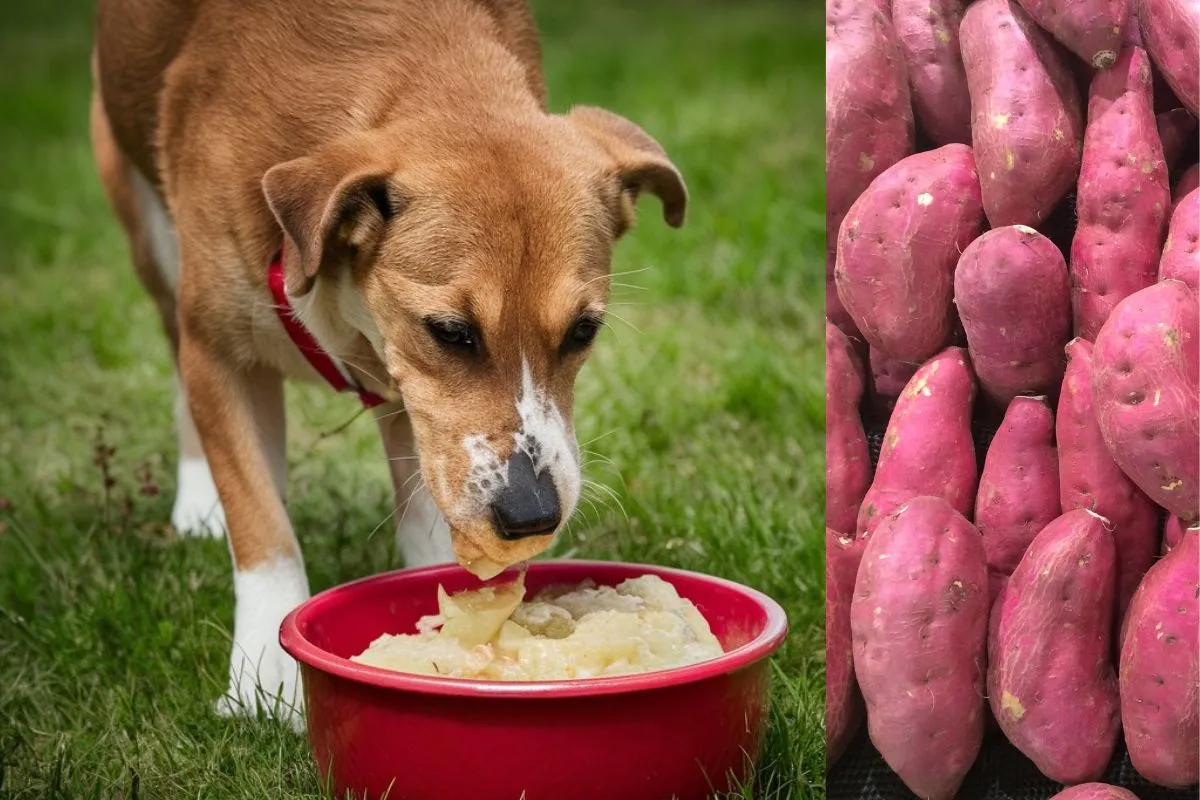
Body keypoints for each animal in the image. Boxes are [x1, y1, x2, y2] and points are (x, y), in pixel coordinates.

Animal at [90, 0, 691, 724]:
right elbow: (263, 528)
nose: (531, 516)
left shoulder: (417, 406)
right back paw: (201, 503)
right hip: (149, 232)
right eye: (452, 332)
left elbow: (427, 521)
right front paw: (265, 682)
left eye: (583, 331)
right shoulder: (219, 351)